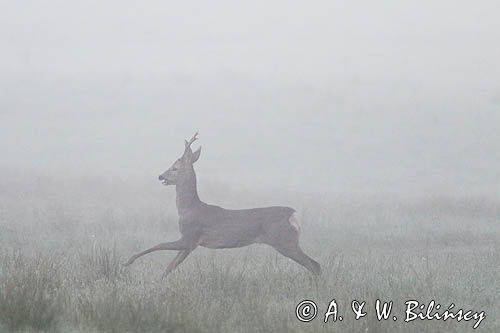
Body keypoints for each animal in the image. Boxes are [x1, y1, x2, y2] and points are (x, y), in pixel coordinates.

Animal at [123, 131, 322, 276]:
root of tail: (293, 215)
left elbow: (159, 245)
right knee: (315, 264)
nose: (160, 176)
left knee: (314, 265)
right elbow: (169, 267)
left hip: (284, 240)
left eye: (175, 168)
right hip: (287, 241)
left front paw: (128, 261)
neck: (189, 209)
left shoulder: (190, 236)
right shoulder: (191, 244)